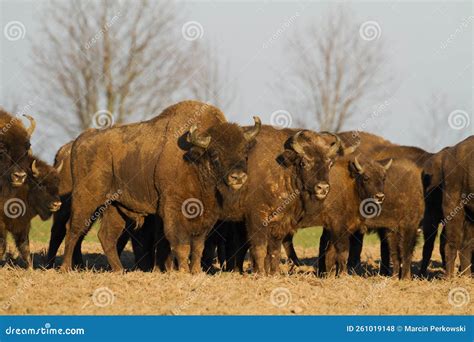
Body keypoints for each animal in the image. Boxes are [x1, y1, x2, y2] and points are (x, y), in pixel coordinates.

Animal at [60, 101, 262, 272]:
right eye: (214, 153)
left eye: (244, 152)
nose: (238, 177)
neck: (194, 163)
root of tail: (80, 140)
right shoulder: (172, 210)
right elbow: (181, 244)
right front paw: (182, 271)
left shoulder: (207, 215)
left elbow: (198, 246)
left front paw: (196, 272)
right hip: (86, 199)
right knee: (74, 229)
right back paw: (66, 268)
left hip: (114, 206)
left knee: (106, 236)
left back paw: (119, 271)